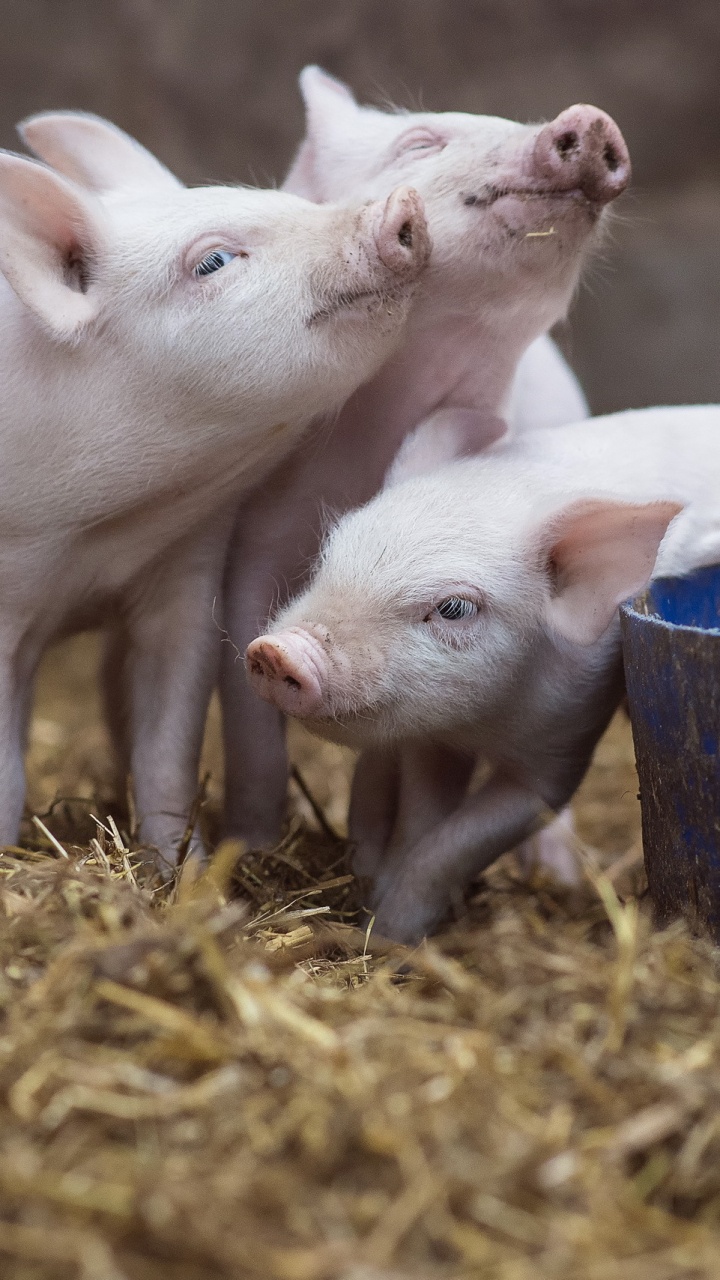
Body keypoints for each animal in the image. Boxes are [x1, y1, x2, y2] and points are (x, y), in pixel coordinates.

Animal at [0, 110, 428, 864]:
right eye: (214, 262)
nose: (402, 202)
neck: (93, 532)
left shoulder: (185, 572)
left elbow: (168, 745)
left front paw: (185, 866)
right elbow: (4, 765)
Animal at [218, 66, 630, 849]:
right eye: (419, 142)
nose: (592, 119)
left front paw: (366, 844)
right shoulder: (255, 540)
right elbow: (249, 723)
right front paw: (245, 847)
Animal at [246, 405, 720, 942]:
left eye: (453, 608)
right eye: (331, 554)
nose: (277, 651)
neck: (486, 723)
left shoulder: (562, 745)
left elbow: (456, 845)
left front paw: (391, 934)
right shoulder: (432, 740)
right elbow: (421, 819)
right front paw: (376, 913)